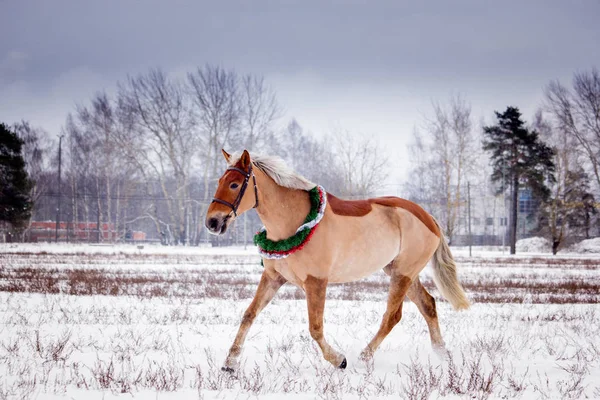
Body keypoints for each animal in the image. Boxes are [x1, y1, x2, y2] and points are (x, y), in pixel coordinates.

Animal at [205, 149, 468, 372]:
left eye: (234, 184)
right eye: (218, 182)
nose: (212, 222)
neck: (295, 223)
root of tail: (429, 217)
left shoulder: (316, 282)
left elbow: (315, 328)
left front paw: (339, 360)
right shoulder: (273, 277)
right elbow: (249, 314)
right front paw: (229, 363)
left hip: (403, 274)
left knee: (392, 316)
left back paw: (363, 357)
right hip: (400, 272)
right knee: (428, 305)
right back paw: (443, 355)